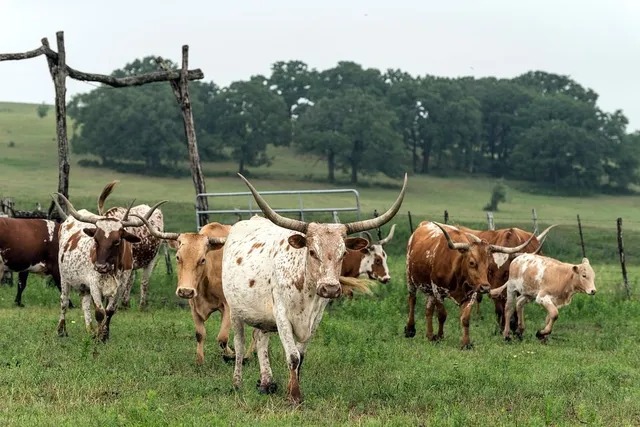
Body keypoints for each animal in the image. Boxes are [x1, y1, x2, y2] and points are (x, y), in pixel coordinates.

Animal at [52, 190, 164, 342]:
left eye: (117, 241)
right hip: (64, 277)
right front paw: (99, 338)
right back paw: (61, 330)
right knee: (64, 302)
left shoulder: (120, 286)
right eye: (96, 239)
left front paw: (104, 335)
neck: (112, 270)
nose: (100, 267)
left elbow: (109, 311)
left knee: (85, 304)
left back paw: (90, 330)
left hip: (84, 285)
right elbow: (100, 312)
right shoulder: (94, 284)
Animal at [222, 173, 408, 404]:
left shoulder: (315, 318)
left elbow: (300, 357)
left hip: (262, 315)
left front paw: (291, 388)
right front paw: (294, 396)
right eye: (311, 251)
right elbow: (292, 356)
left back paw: (266, 383)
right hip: (235, 310)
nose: (330, 288)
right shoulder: (281, 315)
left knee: (260, 339)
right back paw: (237, 383)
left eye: (343, 253)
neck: (305, 287)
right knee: (239, 345)